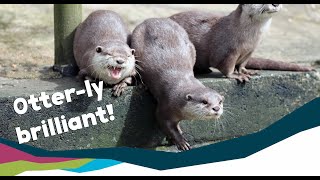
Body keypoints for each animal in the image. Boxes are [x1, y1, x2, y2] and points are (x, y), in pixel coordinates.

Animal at [131, 17, 224, 150]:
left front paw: (178, 131)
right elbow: (165, 123)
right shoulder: (165, 106)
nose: (216, 108)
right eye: (204, 101)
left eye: (220, 101)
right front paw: (181, 142)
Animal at [171, 4, 314, 82]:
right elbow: (226, 66)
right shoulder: (227, 51)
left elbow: (242, 64)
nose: (275, 3)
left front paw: (246, 71)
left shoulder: (250, 51)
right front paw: (235, 76)